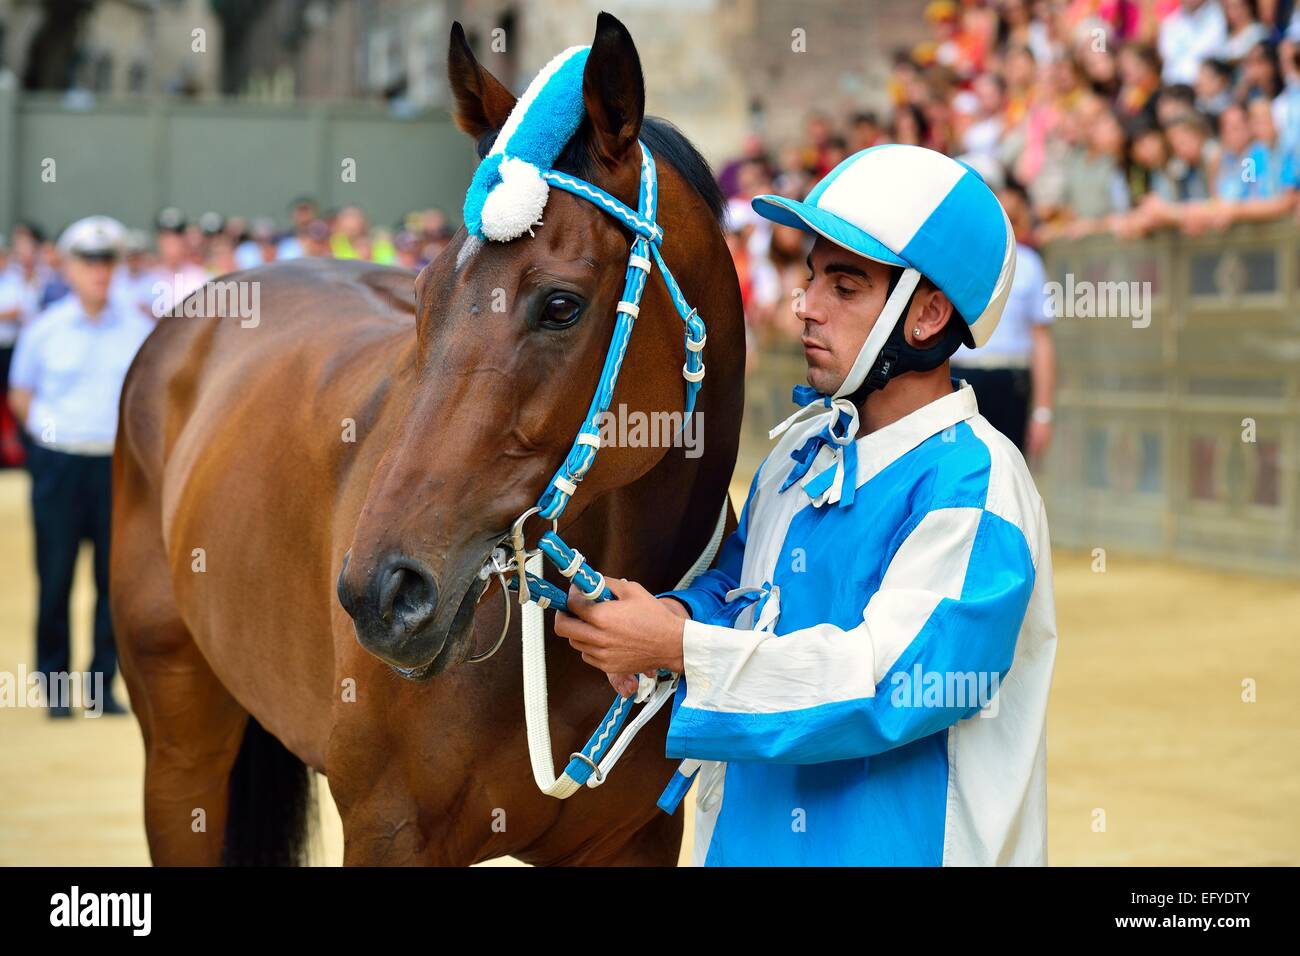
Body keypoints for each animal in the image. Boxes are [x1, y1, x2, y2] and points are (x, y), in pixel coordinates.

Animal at [114, 13, 743, 868]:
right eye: (424, 292)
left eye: (560, 305)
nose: (381, 593)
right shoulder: (389, 830)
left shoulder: (636, 842)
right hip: (183, 755)